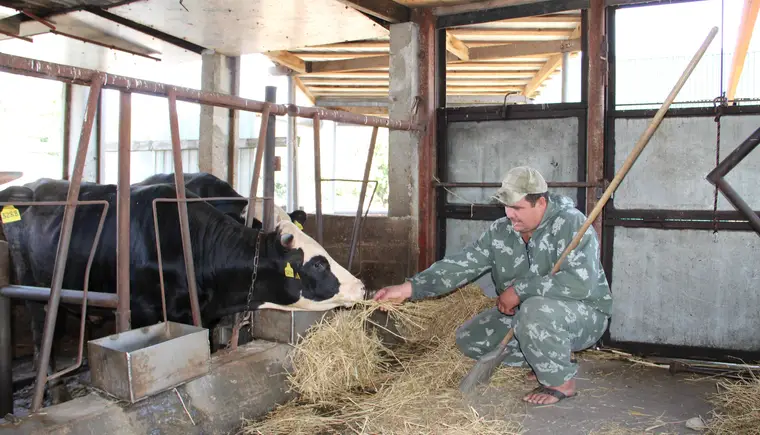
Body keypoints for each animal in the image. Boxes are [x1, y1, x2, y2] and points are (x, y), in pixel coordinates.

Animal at [0, 175, 366, 404]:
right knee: (42, 333)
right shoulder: (146, 311)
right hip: (33, 288)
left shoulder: (200, 314)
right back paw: (57, 390)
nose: (361, 286)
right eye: (318, 264)